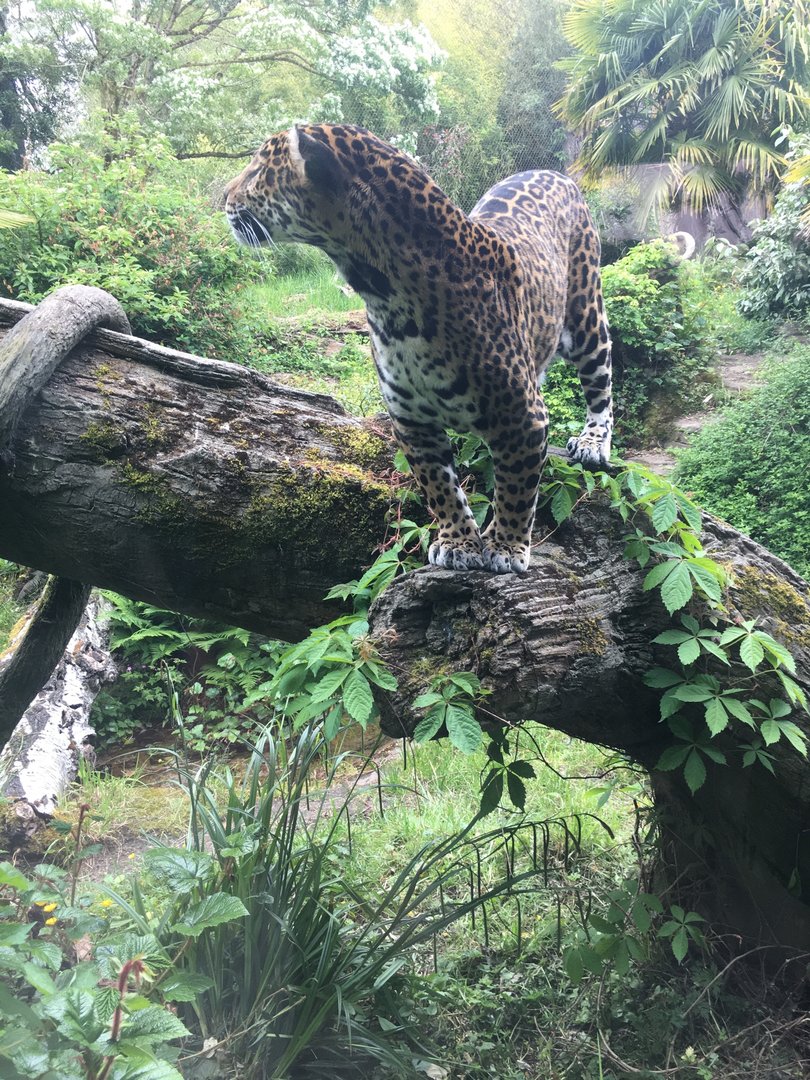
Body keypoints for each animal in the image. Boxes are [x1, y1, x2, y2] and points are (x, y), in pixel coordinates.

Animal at [224, 123, 613, 574]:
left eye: (256, 172)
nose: (224, 198)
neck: (384, 295)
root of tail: (553, 172)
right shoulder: (411, 419)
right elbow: (439, 488)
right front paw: (458, 543)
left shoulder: (523, 416)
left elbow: (517, 487)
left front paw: (505, 546)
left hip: (585, 316)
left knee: (601, 381)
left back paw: (593, 442)